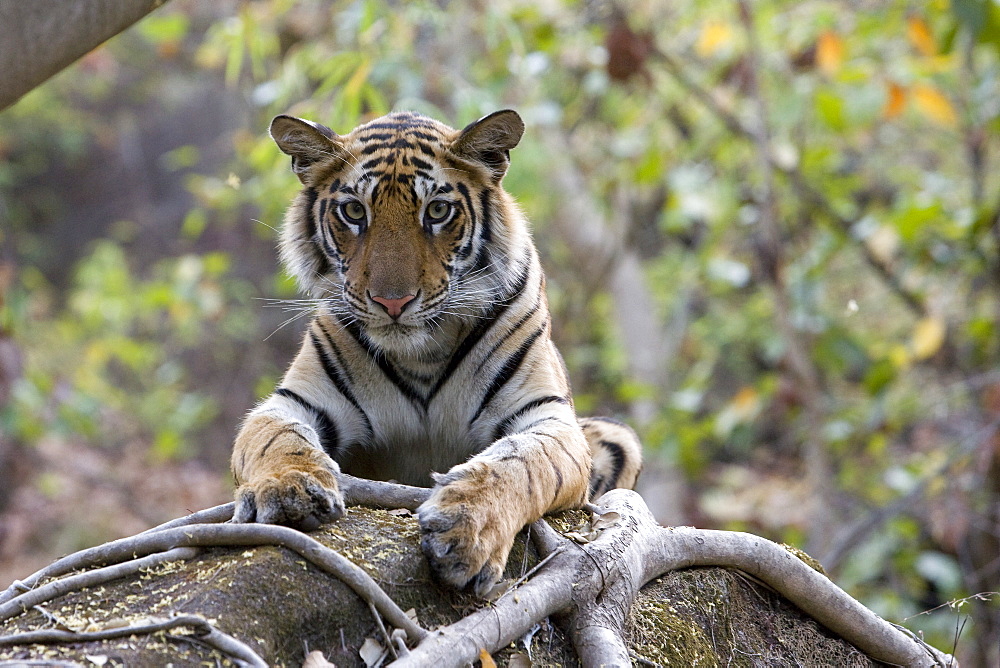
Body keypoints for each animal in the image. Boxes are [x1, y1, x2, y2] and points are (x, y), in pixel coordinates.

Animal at [231, 108, 640, 596]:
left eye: (438, 211)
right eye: (354, 211)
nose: (392, 302)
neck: (420, 353)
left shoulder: (547, 417)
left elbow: (519, 463)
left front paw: (467, 529)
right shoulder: (292, 402)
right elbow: (277, 440)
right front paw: (287, 489)